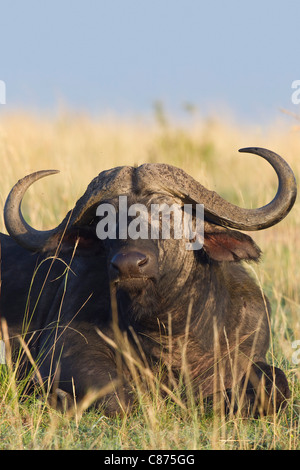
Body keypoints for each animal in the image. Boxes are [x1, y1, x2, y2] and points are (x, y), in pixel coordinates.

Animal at [0, 147, 296, 414]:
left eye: (168, 215)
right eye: (105, 221)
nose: (129, 264)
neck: (169, 332)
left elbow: (277, 383)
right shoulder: (63, 350)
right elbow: (119, 398)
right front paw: (58, 399)